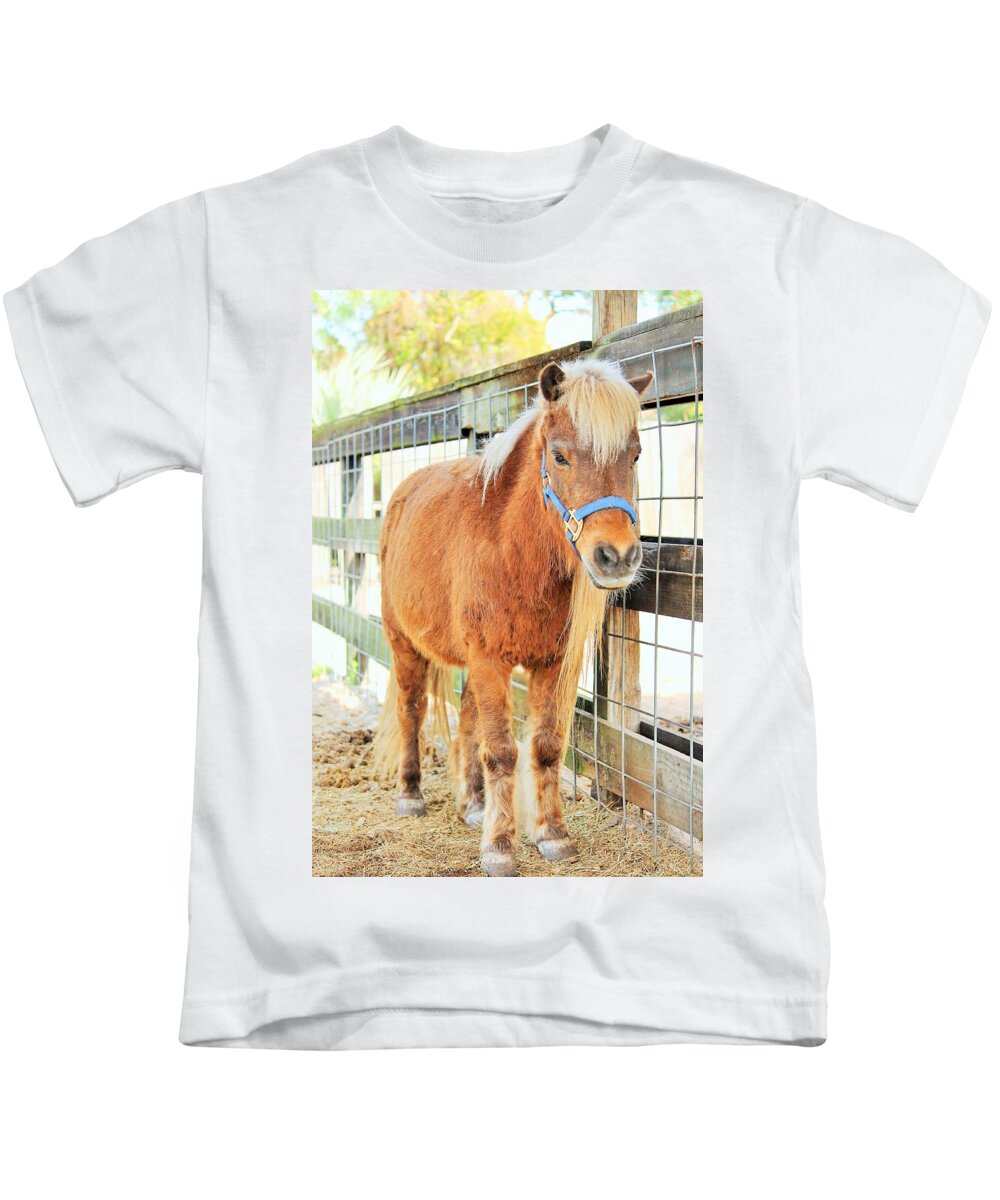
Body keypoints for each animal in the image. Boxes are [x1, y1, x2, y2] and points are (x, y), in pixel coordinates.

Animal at [373, 358, 652, 876]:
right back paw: (410, 794)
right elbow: (502, 751)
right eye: (559, 457)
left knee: (466, 719)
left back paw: (472, 804)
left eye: (636, 456)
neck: (513, 551)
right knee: (411, 710)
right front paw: (500, 847)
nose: (617, 557)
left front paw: (552, 834)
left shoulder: (551, 665)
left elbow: (544, 747)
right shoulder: (490, 659)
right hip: (403, 643)